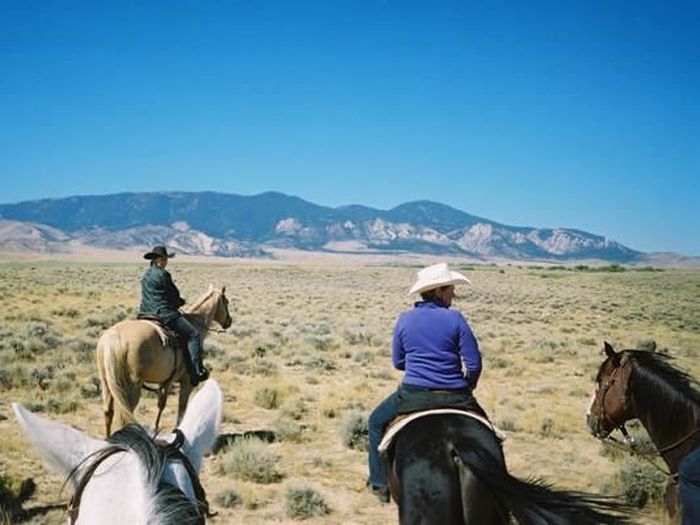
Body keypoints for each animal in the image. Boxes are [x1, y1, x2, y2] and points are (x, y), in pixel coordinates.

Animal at [95, 284, 231, 436]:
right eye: (226, 301)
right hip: (133, 385)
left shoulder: (165, 381)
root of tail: (113, 337)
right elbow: (182, 407)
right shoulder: (187, 382)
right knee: (126, 415)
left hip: (107, 383)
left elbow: (161, 404)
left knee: (108, 411)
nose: (229, 321)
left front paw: (155, 430)